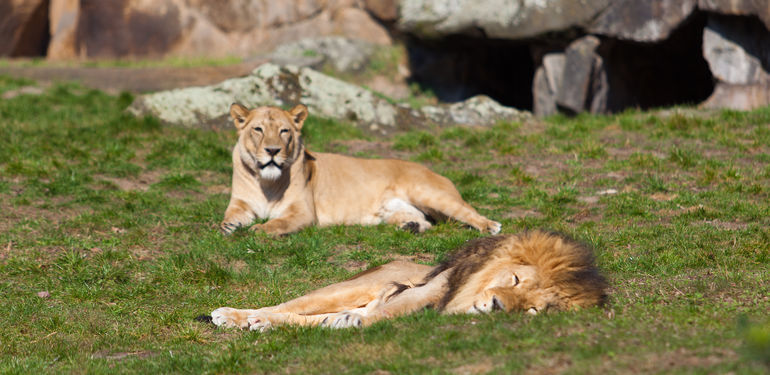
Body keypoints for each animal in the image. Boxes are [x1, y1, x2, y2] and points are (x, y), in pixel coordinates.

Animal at [219, 103, 500, 235]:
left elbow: (277, 223)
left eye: (284, 131)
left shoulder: (303, 212)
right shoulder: (240, 203)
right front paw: (229, 228)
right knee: (426, 221)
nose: (272, 151)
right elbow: (229, 218)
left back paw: (490, 226)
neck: (266, 182)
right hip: (393, 211)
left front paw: (258, 229)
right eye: (258, 129)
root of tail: (433, 171)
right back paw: (410, 226)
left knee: (468, 211)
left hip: (429, 193)